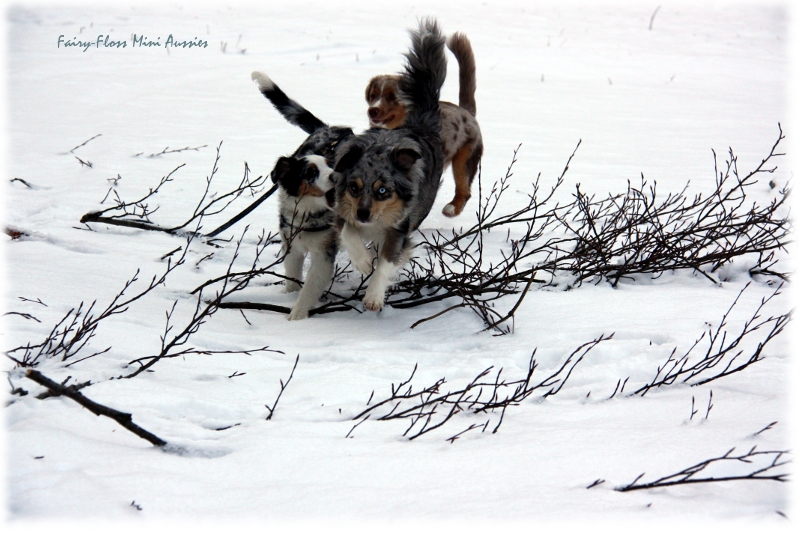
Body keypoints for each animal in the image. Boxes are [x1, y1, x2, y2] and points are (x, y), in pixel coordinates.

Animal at [248, 72, 352, 318]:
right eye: (311, 173)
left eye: (331, 166)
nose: (335, 177)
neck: (308, 213)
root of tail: (328, 128)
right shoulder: (292, 246)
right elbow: (293, 278)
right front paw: (289, 298)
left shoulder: (323, 252)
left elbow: (311, 285)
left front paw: (297, 316)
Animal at [328, 18, 446, 312]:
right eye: (354, 188)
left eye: (384, 190)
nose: (363, 215)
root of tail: (420, 125)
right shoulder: (342, 210)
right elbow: (349, 233)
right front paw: (362, 261)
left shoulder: (401, 227)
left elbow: (387, 261)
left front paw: (373, 296)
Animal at [366, 31, 484, 217]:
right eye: (373, 95)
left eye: (393, 97)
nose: (373, 110)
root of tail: (467, 112)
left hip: (465, 157)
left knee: (464, 188)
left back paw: (451, 208)